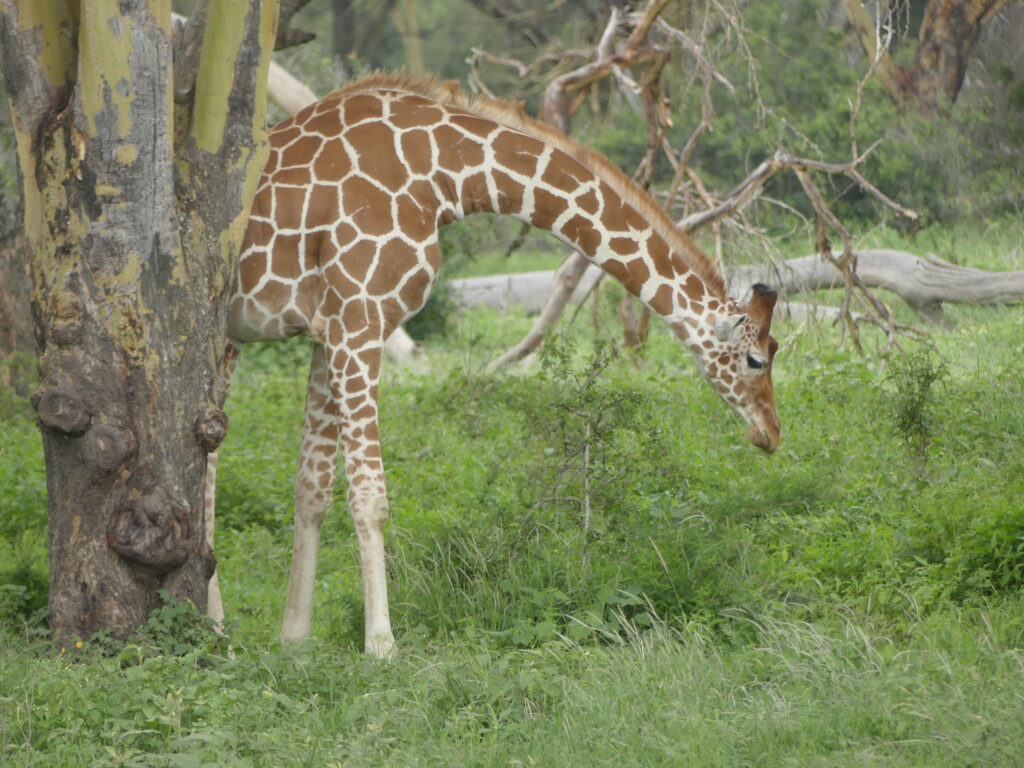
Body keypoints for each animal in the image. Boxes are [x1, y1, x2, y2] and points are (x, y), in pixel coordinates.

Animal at [205, 73, 781, 658]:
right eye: (757, 358)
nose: (771, 433)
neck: (444, 176)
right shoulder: (360, 319)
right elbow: (369, 495)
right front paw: (382, 646)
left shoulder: (328, 330)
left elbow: (312, 488)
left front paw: (294, 639)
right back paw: (216, 626)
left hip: (231, 334)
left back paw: (216, 624)